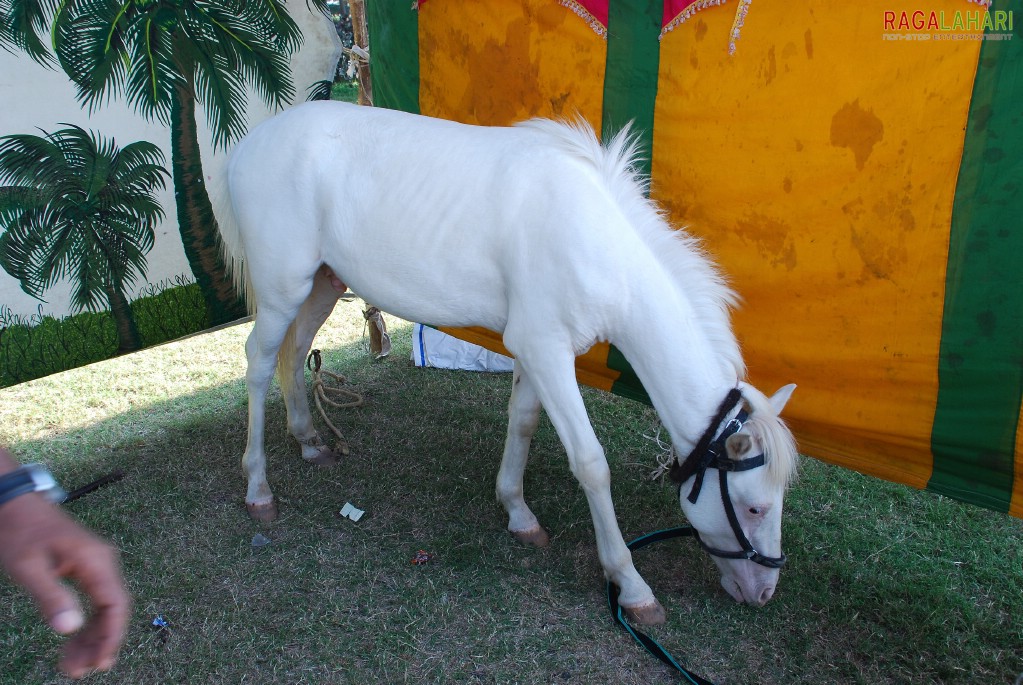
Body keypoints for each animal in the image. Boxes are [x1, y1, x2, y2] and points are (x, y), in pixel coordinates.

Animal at [217, 100, 797, 621]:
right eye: (754, 507)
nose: (765, 593)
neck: (593, 241)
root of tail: (250, 144)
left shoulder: (538, 351)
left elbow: (523, 423)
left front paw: (517, 512)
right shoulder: (545, 348)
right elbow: (591, 463)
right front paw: (631, 584)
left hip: (322, 282)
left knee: (295, 355)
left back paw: (309, 440)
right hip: (282, 290)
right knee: (259, 366)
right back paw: (258, 488)